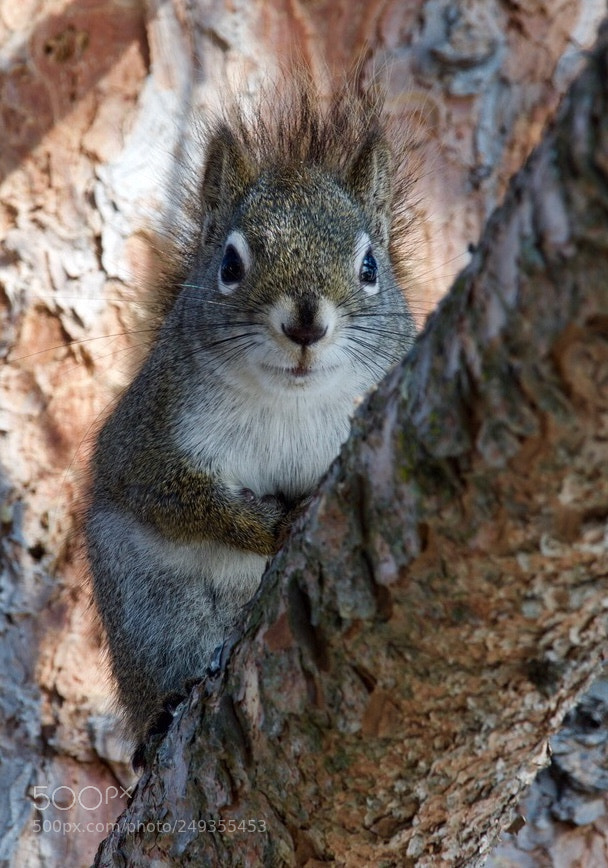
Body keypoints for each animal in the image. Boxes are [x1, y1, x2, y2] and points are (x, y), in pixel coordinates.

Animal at [85, 75, 418, 747]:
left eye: (371, 266)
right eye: (230, 265)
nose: (306, 323)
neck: (291, 402)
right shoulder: (146, 435)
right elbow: (170, 496)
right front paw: (263, 526)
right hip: (149, 614)